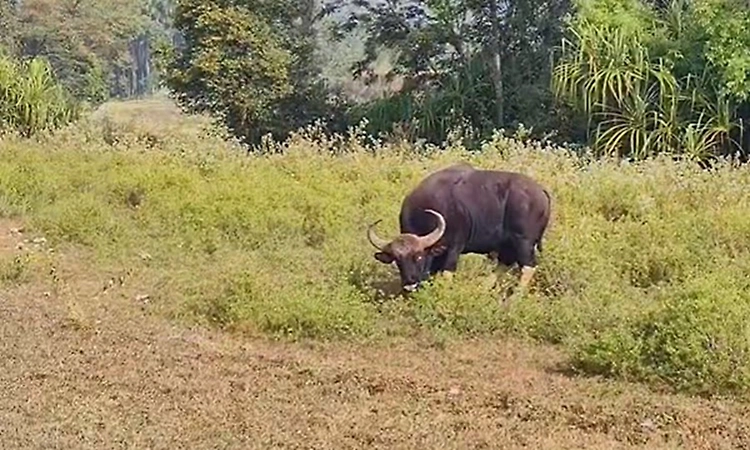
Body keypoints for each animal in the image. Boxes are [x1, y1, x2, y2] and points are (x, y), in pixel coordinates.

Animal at [367, 163, 551, 293]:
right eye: (397, 260)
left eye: (418, 256)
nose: (409, 284)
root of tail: (541, 191)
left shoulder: (454, 246)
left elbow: (447, 272)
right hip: (507, 244)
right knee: (504, 264)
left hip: (524, 242)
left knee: (527, 267)